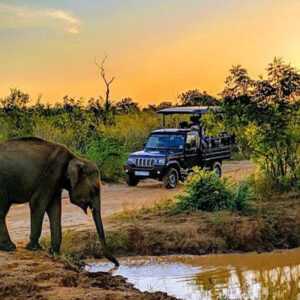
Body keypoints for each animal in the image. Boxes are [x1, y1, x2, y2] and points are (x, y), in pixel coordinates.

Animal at [0, 137, 119, 266]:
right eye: (95, 190)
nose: (117, 264)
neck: (75, 157)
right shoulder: (52, 173)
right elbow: (38, 203)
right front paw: (35, 248)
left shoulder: (55, 181)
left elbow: (54, 208)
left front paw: (54, 252)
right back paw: (9, 247)